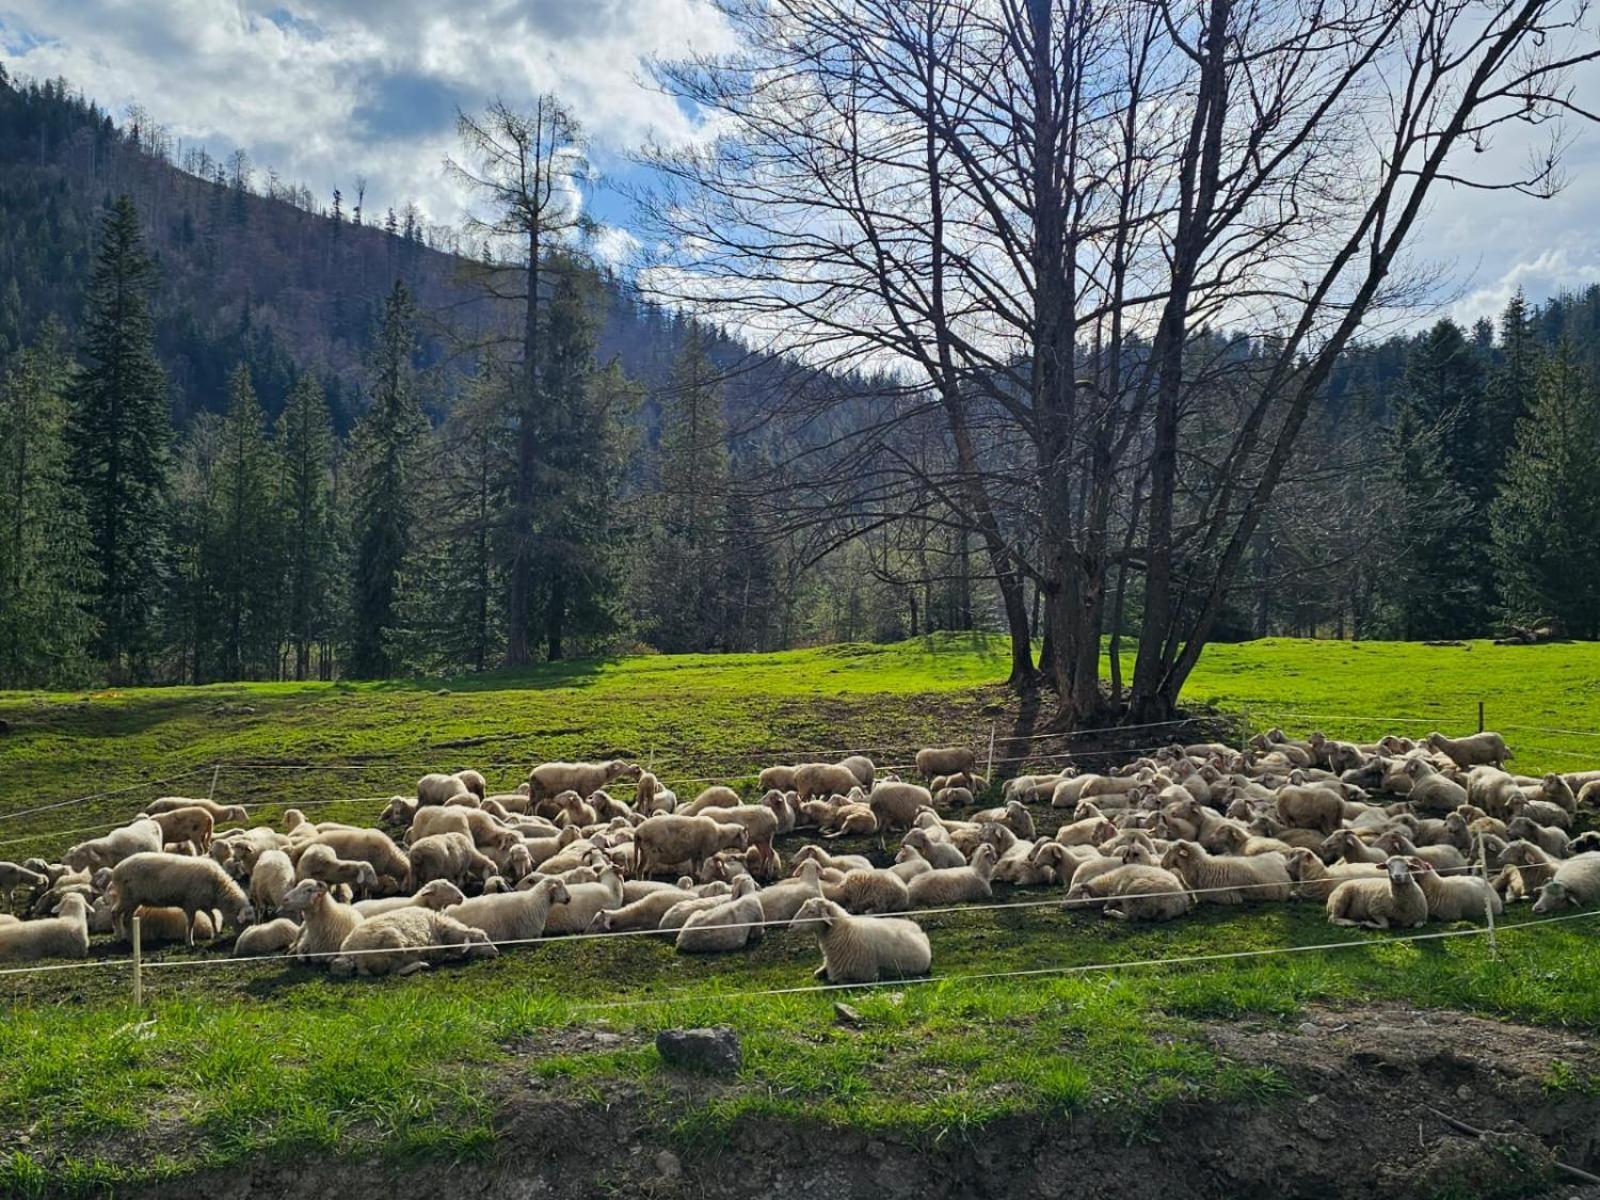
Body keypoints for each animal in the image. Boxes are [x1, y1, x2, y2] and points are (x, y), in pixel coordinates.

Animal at [328, 908, 496, 979]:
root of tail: (353, 955)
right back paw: (421, 964)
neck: (440, 927)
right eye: (481, 939)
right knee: (395, 971)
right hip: (393, 943)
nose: (496, 952)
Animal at [793, 896, 934, 979]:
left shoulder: (857, 976)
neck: (844, 932)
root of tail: (919, 930)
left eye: (811, 911)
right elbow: (817, 973)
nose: (791, 925)